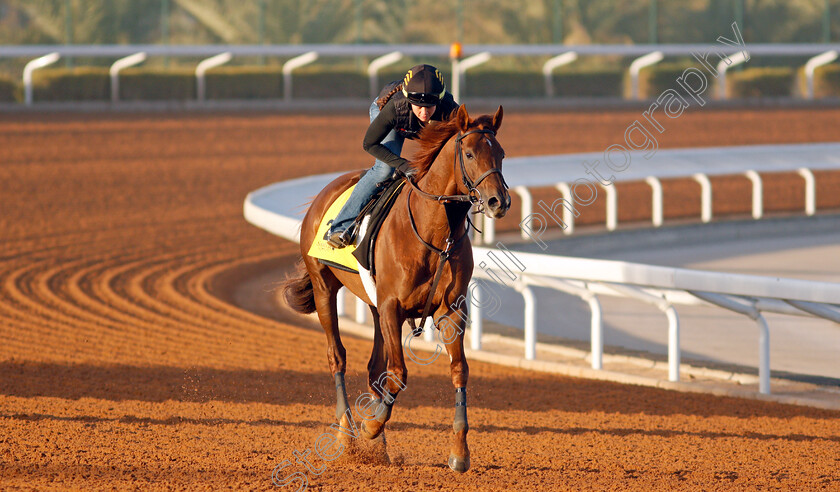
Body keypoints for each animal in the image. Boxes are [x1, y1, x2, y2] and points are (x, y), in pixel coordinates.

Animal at [282, 104, 508, 472]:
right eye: (470, 153)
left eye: (501, 153)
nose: (497, 201)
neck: (433, 233)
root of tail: (325, 193)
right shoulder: (392, 306)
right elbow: (398, 372)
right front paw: (370, 426)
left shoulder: (450, 310)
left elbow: (458, 370)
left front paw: (459, 452)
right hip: (323, 286)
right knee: (337, 357)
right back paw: (348, 436)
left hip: (372, 305)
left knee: (375, 369)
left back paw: (379, 451)